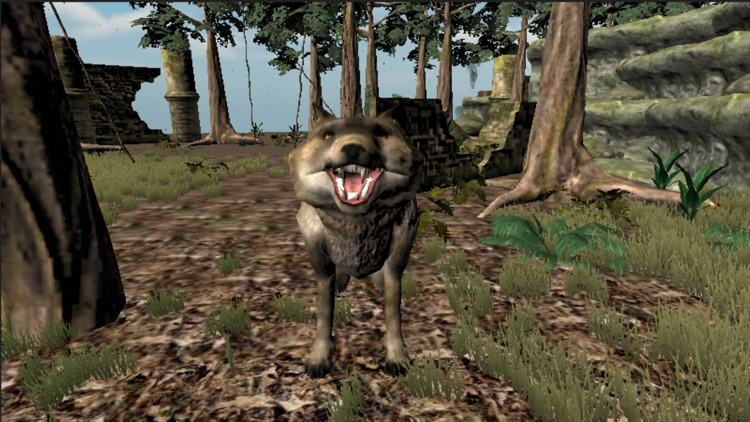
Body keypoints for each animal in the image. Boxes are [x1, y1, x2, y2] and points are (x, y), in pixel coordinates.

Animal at [288, 104, 424, 378]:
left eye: (381, 133)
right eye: (328, 135)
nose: (352, 148)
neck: (355, 224)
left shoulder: (402, 243)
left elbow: (393, 308)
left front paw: (397, 355)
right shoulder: (317, 252)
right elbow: (324, 307)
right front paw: (320, 356)